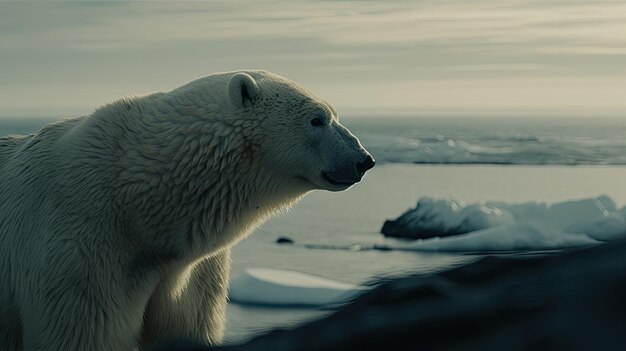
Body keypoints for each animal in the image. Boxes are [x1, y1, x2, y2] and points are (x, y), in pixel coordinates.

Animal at [0, 70, 370, 350]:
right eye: (317, 119)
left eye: (334, 115)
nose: (364, 160)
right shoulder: (78, 255)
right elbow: (83, 334)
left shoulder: (191, 275)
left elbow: (188, 325)